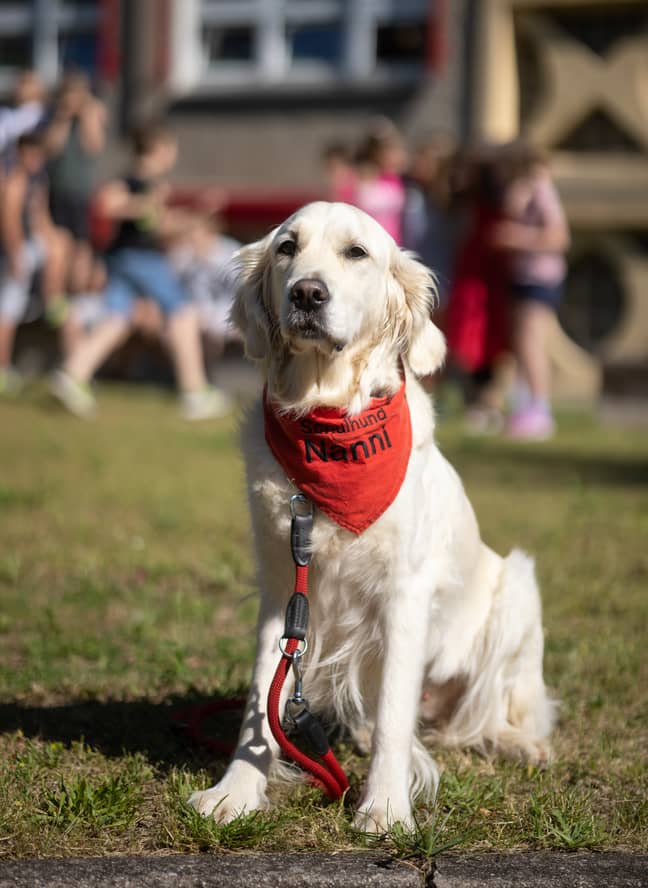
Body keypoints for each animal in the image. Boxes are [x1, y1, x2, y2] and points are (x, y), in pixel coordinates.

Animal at [186, 201, 552, 832]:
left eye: (356, 252)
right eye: (287, 247)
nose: (307, 294)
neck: (328, 416)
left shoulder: (405, 591)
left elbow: (393, 719)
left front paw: (384, 807)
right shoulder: (282, 587)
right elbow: (262, 699)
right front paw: (235, 791)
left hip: (517, 588)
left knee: (492, 711)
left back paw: (519, 742)